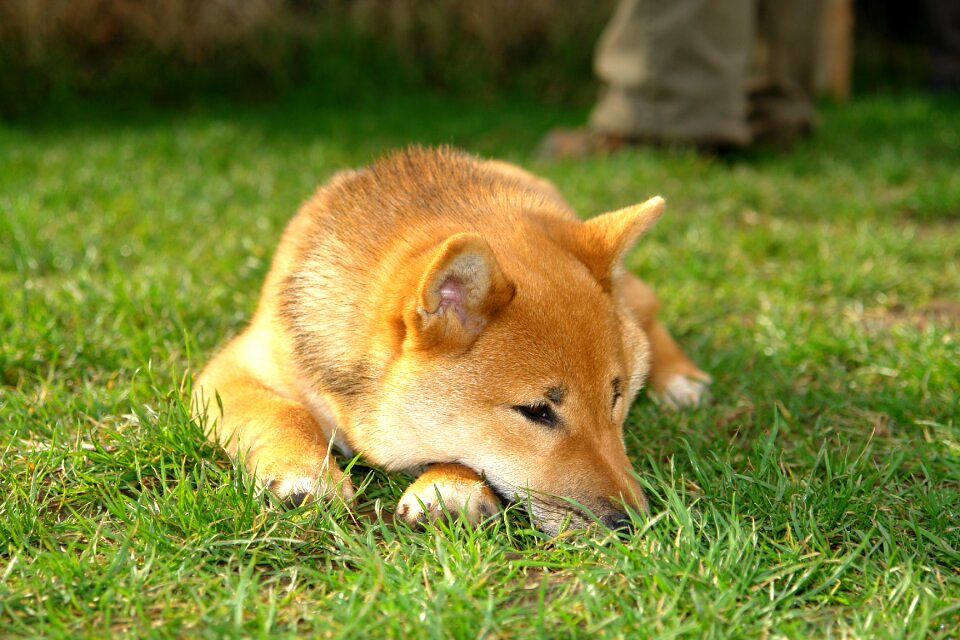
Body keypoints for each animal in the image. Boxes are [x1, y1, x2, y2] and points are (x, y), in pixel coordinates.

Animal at [195, 148, 708, 532]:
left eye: (615, 398)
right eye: (536, 411)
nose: (631, 524)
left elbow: (461, 447)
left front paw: (450, 486)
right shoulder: (226, 373)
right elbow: (282, 411)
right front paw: (303, 471)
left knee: (648, 305)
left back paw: (681, 379)